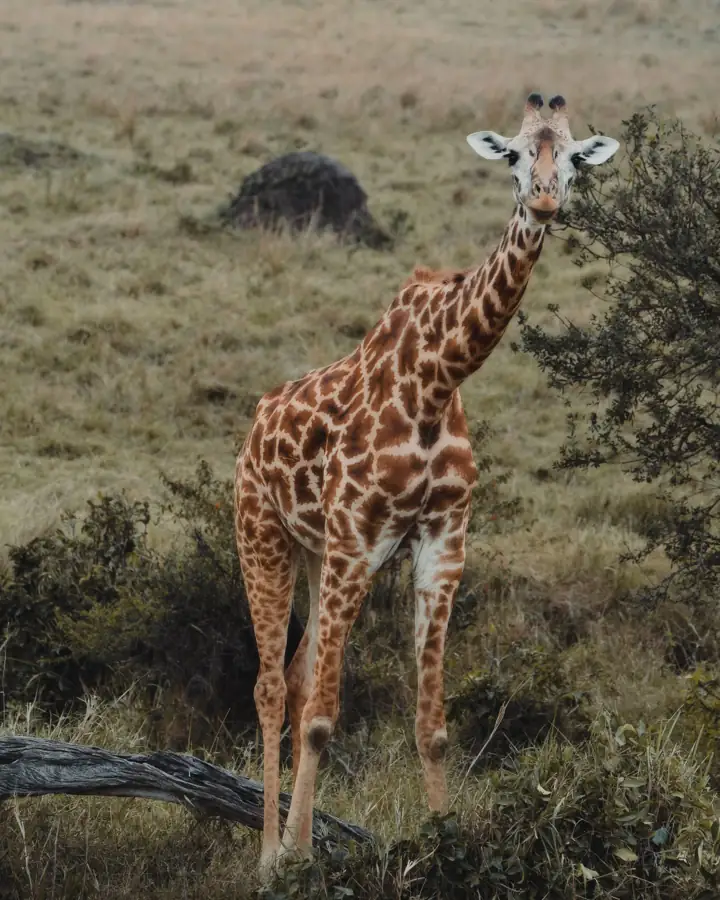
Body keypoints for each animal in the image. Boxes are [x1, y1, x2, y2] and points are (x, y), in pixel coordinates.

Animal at [234, 93, 619, 880]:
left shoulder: (442, 541)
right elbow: (321, 719)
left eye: (572, 157)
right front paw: (301, 860)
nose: (544, 199)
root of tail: (253, 427)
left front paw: (447, 845)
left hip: (317, 554)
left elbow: (433, 725)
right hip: (264, 536)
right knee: (271, 685)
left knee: (294, 675)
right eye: (513, 155)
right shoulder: (357, 538)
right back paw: (266, 855)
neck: (439, 379)